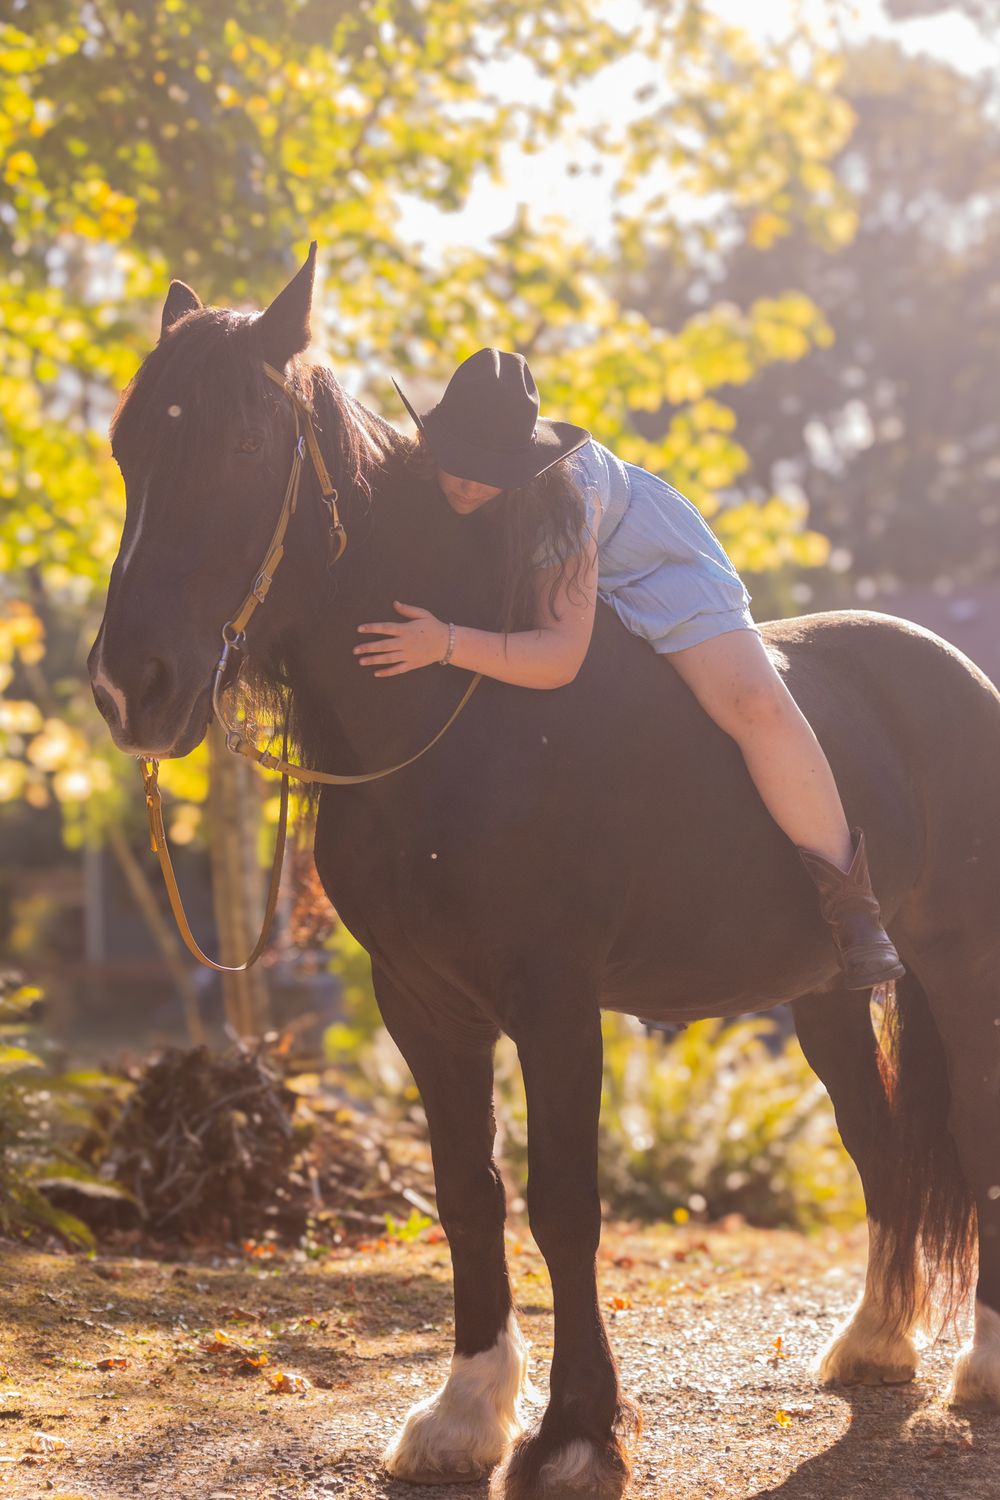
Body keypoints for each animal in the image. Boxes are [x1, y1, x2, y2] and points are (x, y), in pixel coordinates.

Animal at [88, 244, 1000, 1499]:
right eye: (128, 449)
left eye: (236, 444)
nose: (131, 686)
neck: (466, 723)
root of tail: (955, 675)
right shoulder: (422, 1004)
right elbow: (468, 1191)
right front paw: (464, 1413)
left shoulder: (555, 999)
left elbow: (565, 1201)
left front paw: (572, 1430)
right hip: (826, 994)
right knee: (879, 1146)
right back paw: (872, 1342)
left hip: (962, 965)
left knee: (975, 1127)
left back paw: (982, 1369)